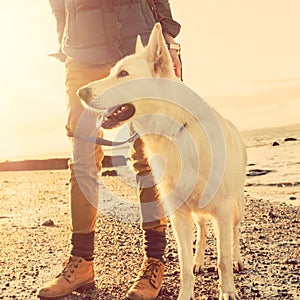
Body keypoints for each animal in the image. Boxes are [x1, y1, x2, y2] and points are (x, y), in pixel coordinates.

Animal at [78, 24, 247, 300]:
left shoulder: (221, 210)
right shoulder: (179, 215)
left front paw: (228, 290)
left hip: (236, 207)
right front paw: (187, 291)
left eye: (123, 74)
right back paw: (200, 261)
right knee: (202, 232)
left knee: (234, 233)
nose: (80, 92)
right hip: (196, 212)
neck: (175, 129)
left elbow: (223, 259)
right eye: (113, 72)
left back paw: (238, 260)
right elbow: (185, 265)